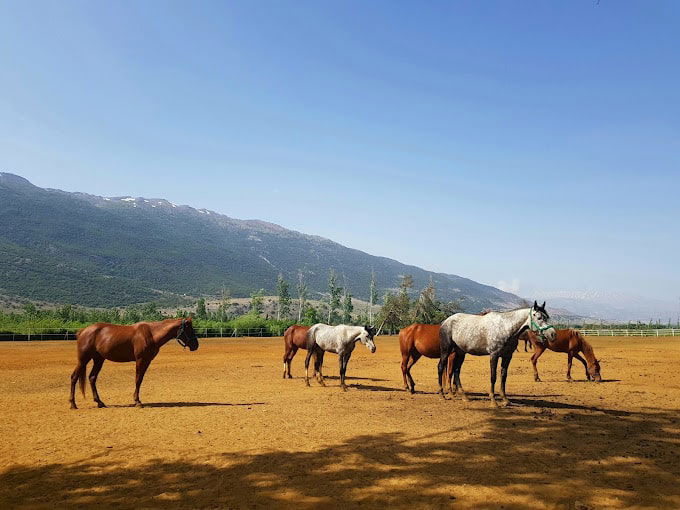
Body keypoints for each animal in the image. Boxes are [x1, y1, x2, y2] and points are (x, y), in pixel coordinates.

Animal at [69, 316, 199, 408]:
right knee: (74, 377)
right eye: (189, 329)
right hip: (83, 360)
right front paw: (137, 401)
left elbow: (140, 379)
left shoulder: (147, 361)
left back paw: (99, 402)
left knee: (92, 377)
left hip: (98, 359)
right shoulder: (140, 360)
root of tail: (83, 331)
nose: (196, 345)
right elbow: (138, 379)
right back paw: (73, 404)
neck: (151, 334)